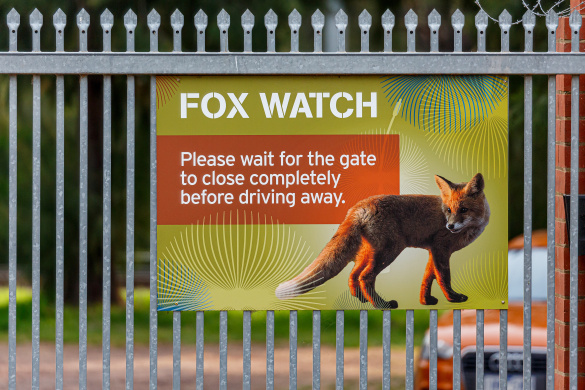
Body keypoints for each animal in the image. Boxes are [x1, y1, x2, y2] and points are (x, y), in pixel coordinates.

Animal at [274, 174, 488, 308]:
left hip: (369, 253)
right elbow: (444, 277)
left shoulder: (433, 251)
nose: (450, 226)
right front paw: (453, 299)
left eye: (463, 210)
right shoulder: (440, 249)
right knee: (365, 277)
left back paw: (363, 300)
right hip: (390, 251)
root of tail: (358, 206)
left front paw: (425, 301)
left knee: (353, 275)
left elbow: (428, 278)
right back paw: (381, 305)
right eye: (449, 210)